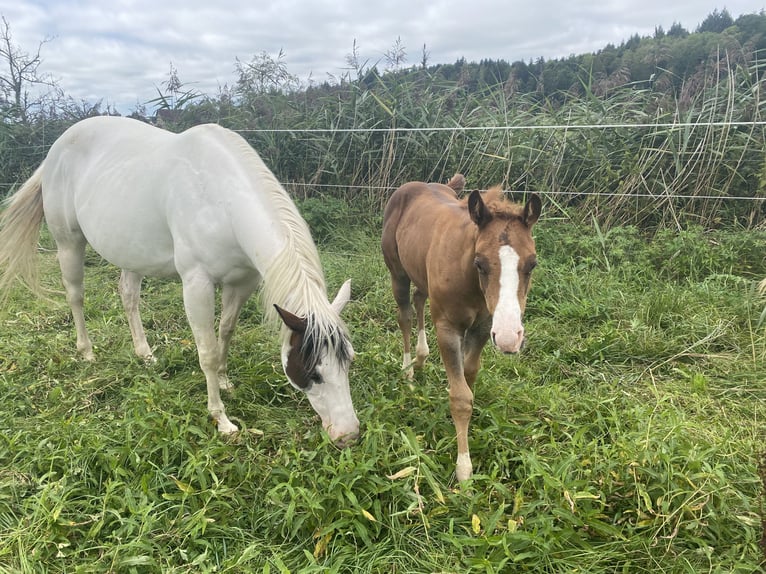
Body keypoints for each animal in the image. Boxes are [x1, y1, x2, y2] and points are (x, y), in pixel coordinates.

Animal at [0, 116, 364, 446]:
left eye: (349, 362)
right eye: (312, 371)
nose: (348, 435)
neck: (221, 200)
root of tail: (55, 150)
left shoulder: (241, 282)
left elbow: (225, 333)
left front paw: (225, 381)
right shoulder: (196, 284)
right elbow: (207, 350)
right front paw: (221, 419)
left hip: (132, 251)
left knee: (128, 296)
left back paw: (145, 354)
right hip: (68, 243)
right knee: (76, 296)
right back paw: (87, 352)